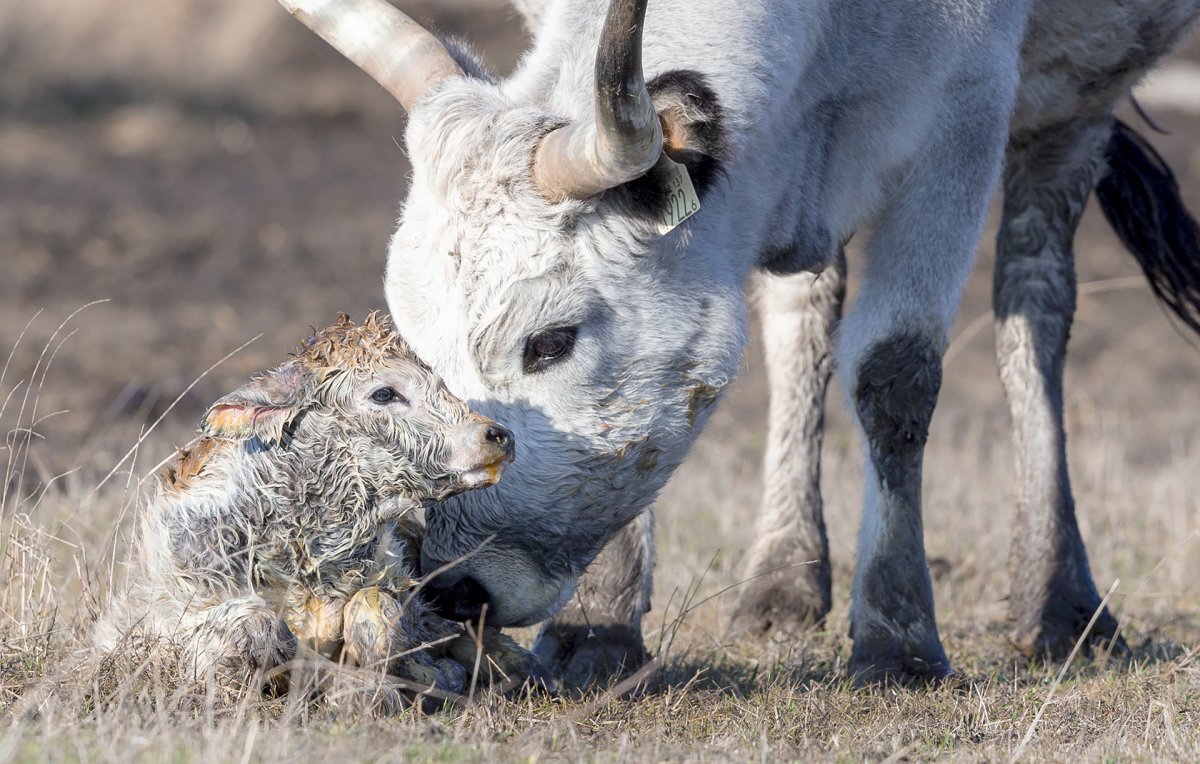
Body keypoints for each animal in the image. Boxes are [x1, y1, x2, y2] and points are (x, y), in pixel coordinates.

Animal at [276, 0, 1200, 681]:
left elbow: (895, 371)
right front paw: (599, 628)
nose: (448, 589)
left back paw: (1060, 602)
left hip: (1078, 103)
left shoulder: (963, 120)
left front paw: (898, 637)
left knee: (1034, 304)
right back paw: (783, 578)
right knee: (804, 312)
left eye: (550, 342)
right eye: (411, 357)